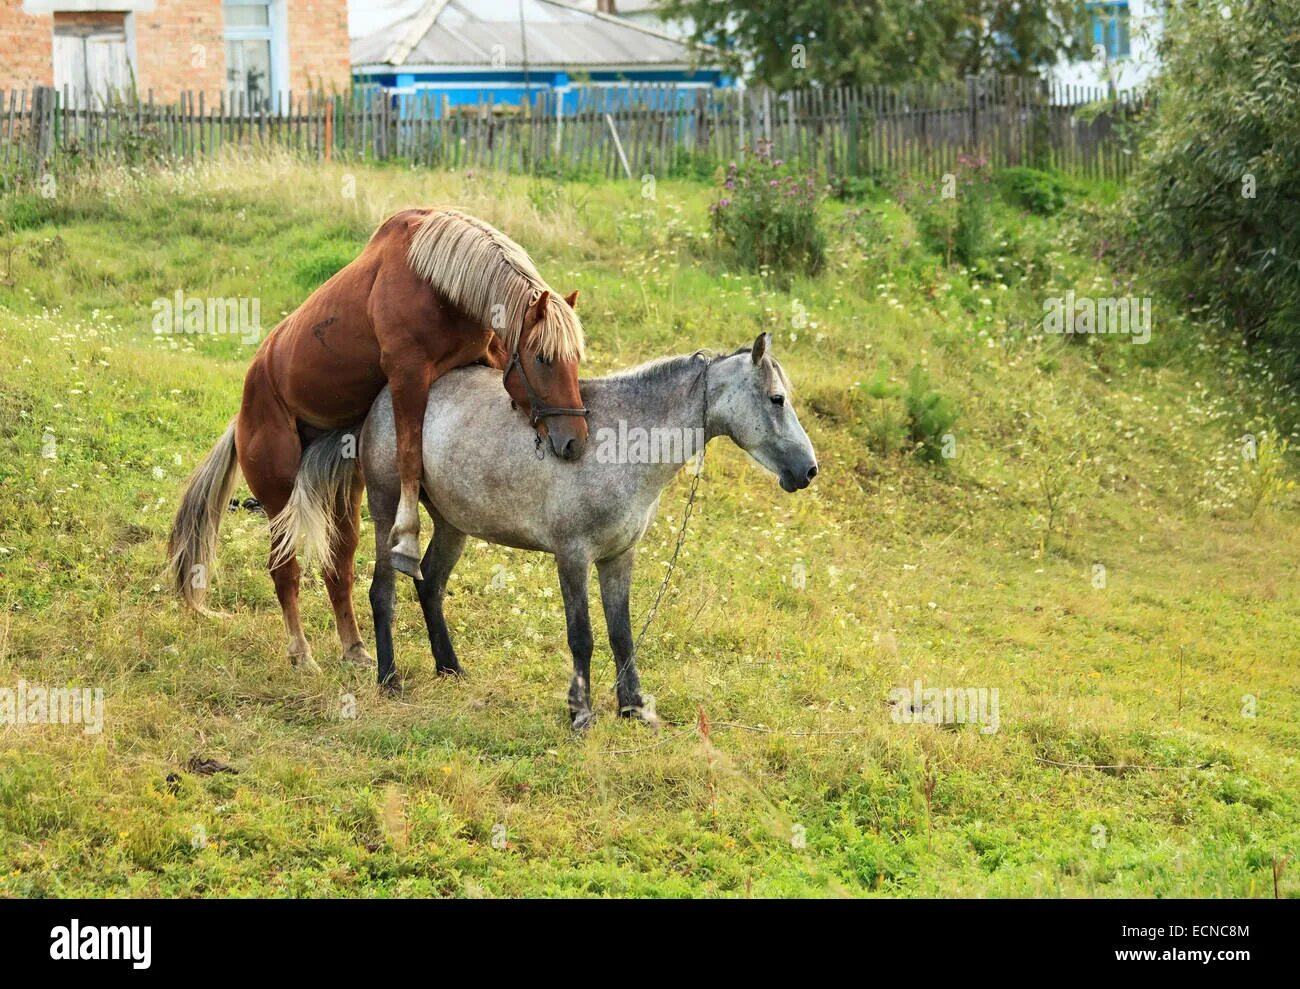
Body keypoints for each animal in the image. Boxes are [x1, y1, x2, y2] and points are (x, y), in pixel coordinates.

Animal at [167, 206, 590, 670]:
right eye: (543, 358)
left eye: (576, 357)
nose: (574, 440)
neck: (438, 284)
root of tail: (244, 410)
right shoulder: (408, 375)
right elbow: (408, 456)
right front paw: (406, 538)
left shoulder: (486, 358)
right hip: (278, 498)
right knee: (285, 571)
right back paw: (301, 654)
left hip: (343, 491)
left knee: (339, 567)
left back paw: (354, 648)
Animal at [279, 331, 816, 727]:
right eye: (776, 399)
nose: (808, 471)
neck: (618, 442)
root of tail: (380, 403)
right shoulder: (572, 557)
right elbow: (583, 636)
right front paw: (582, 714)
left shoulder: (618, 558)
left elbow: (621, 633)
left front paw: (633, 708)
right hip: (390, 511)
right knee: (382, 592)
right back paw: (390, 680)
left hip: (454, 525)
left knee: (430, 585)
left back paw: (451, 669)